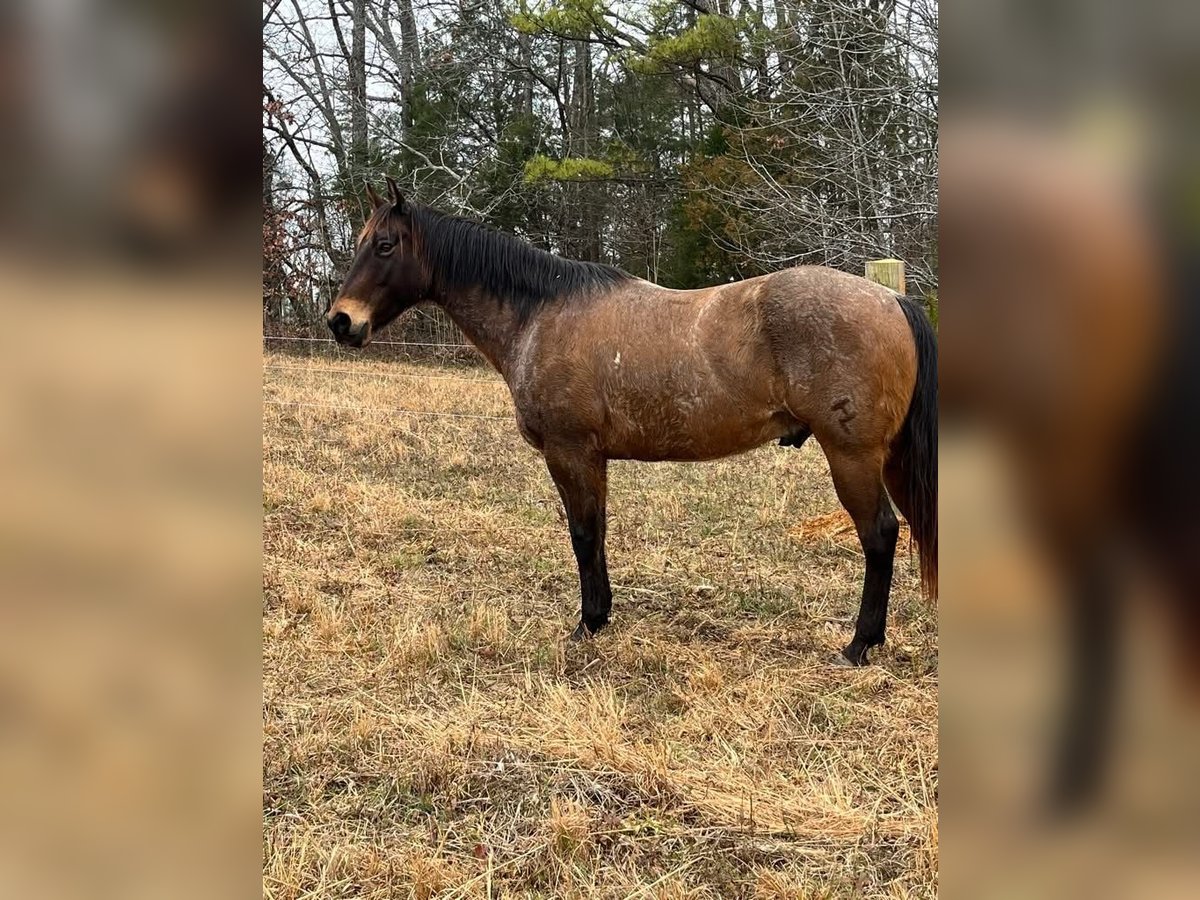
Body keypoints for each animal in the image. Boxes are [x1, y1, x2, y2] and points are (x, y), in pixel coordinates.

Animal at [326, 177, 936, 672]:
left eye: (385, 245)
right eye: (360, 241)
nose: (340, 321)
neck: (542, 314)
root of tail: (891, 299)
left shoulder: (570, 452)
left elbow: (582, 534)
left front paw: (587, 624)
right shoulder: (592, 458)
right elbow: (596, 533)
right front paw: (600, 617)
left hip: (852, 457)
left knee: (880, 534)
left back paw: (859, 645)